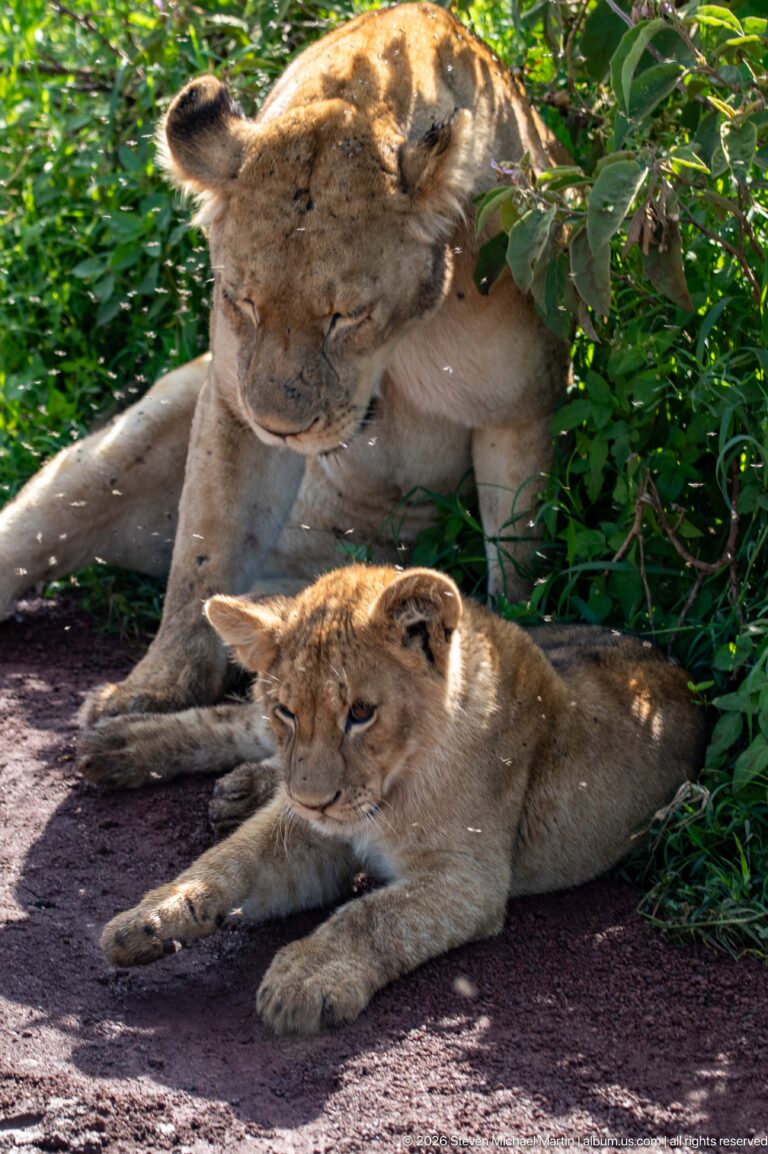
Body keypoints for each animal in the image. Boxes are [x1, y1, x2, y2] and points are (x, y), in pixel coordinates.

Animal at [0, 2, 568, 728]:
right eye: (243, 300)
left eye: (345, 315)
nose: (282, 429)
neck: (400, 343)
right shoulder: (230, 400)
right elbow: (206, 548)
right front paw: (158, 686)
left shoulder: (519, 407)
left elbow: (519, 557)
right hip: (125, 441)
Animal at [97, 563, 705, 1035]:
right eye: (288, 711)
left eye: (362, 713)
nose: (313, 801)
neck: (394, 786)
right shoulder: (307, 827)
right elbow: (230, 860)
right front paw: (150, 917)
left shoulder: (470, 878)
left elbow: (370, 916)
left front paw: (304, 976)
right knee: (233, 720)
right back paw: (114, 743)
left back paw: (230, 785)